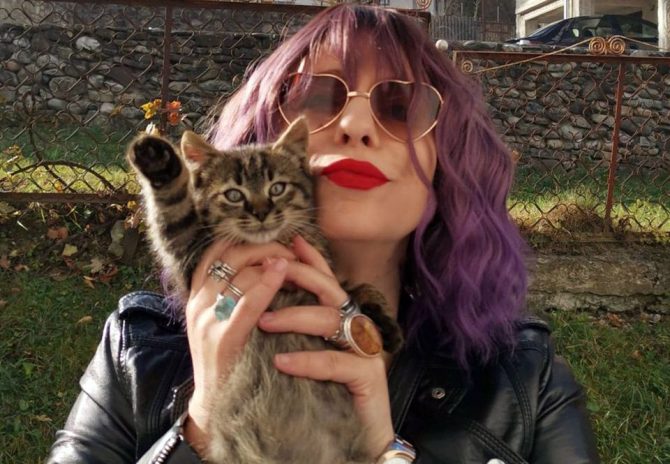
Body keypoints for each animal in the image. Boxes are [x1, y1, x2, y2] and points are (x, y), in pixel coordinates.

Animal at [127, 118, 403, 463]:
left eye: (277, 188)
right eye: (234, 194)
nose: (260, 212)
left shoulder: (327, 274)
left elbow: (358, 288)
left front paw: (384, 326)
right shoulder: (189, 252)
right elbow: (174, 211)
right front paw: (158, 162)